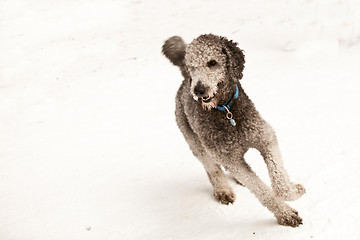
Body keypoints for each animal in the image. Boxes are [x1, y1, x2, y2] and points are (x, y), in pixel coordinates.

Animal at [162, 33, 306, 227]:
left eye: (212, 62)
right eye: (192, 65)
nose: (199, 90)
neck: (226, 110)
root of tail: (185, 79)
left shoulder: (265, 137)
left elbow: (279, 178)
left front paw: (293, 191)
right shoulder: (230, 158)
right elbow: (262, 191)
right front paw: (286, 214)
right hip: (196, 143)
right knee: (213, 169)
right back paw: (223, 190)